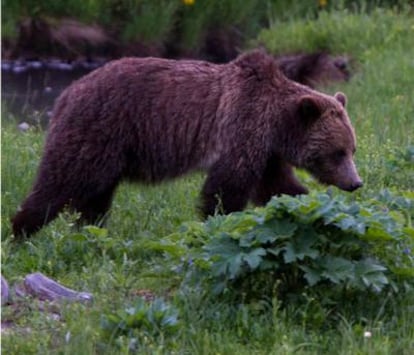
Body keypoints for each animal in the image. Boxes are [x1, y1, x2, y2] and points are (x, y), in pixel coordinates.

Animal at [11, 50, 362, 238]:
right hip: (98, 130)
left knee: (96, 196)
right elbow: (226, 187)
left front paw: (309, 206)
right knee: (62, 181)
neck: (277, 125)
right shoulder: (241, 128)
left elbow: (277, 186)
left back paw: (91, 231)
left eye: (352, 149)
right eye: (338, 152)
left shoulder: (267, 152)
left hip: (108, 150)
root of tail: (66, 93)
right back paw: (21, 231)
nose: (355, 182)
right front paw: (218, 222)